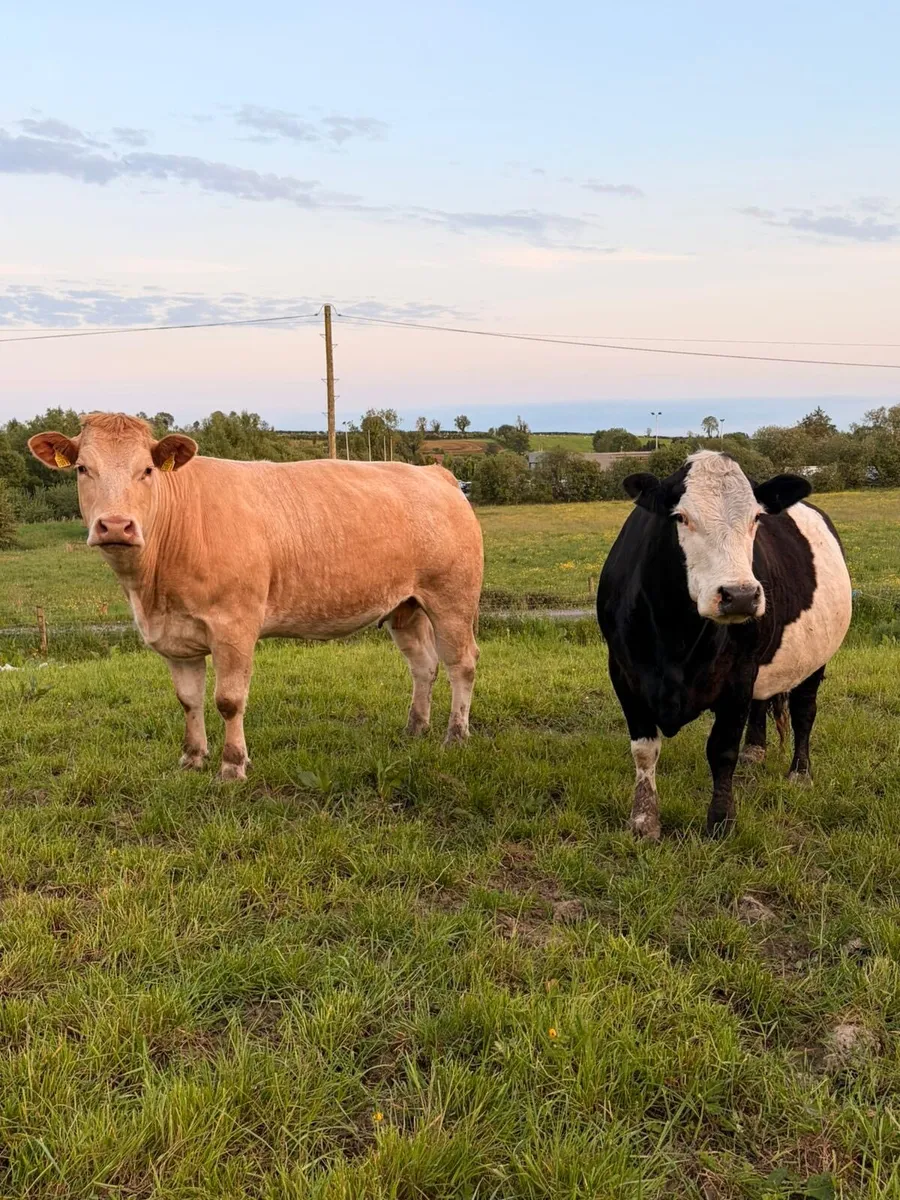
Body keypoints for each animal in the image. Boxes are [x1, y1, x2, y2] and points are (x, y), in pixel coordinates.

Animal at [28, 413, 483, 779]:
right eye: (83, 468)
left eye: (147, 470)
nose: (116, 525)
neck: (152, 592)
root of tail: (434, 474)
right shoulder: (175, 638)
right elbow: (188, 700)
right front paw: (192, 758)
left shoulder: (234, 625)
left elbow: (228, 700)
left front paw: (232, 765)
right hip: (406, 606)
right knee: (423, 665)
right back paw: (415, 727)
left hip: (452, 599)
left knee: (461, 663)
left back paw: (456, 735)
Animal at [597, 451, 852, 838]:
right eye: (681, 517)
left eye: (756, 518)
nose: (741, 595)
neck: (676, 636)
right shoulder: (624, 673)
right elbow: (643, 749)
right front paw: (644, 821)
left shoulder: (738, 675)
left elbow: (722, 750)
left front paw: (720, 820)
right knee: (763, 703)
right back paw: (755, 750)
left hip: (815, 658)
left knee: (804, 712)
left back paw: (799, 773)